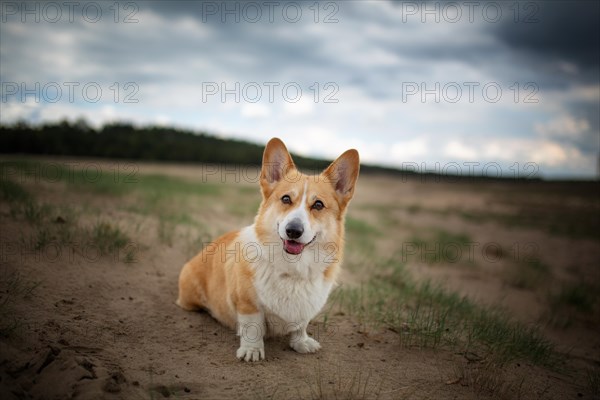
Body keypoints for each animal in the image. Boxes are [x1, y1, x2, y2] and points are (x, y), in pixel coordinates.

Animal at [176, 138, 358, 362]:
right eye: (286, 199)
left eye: (318, 204)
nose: (293, 230)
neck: (293, 268)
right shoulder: (248, 304)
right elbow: (252, 326)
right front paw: (252, 350)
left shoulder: (305, 309)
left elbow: (301, 325)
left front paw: (301, 342)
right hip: (190, 297)